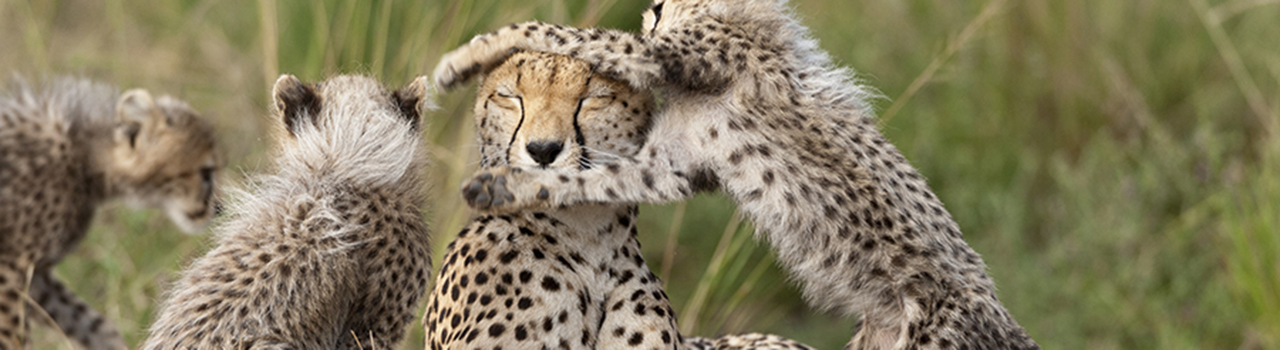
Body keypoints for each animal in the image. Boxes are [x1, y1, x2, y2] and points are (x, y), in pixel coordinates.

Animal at [1, 76, 220, 348]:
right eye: (206, 173)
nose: (218, 208)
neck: (83, 155)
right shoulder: (11, 266)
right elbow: (12, 337)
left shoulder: (38, 277)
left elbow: (95, 325)